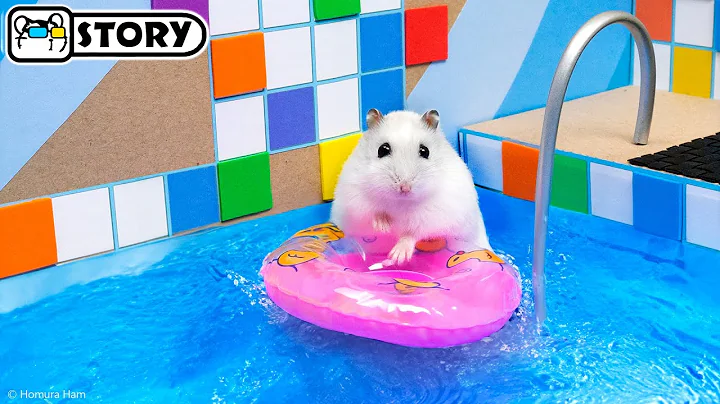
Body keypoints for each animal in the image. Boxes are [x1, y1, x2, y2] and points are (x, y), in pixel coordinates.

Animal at [330, 108, 492, 265]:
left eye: (425, 151)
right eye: (382, 149)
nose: (405, 188)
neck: (400, 202)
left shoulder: (436, 215)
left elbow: (412, 233)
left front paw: (398, 256)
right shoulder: (356, 200)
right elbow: (374, 214)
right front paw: (383, 227)